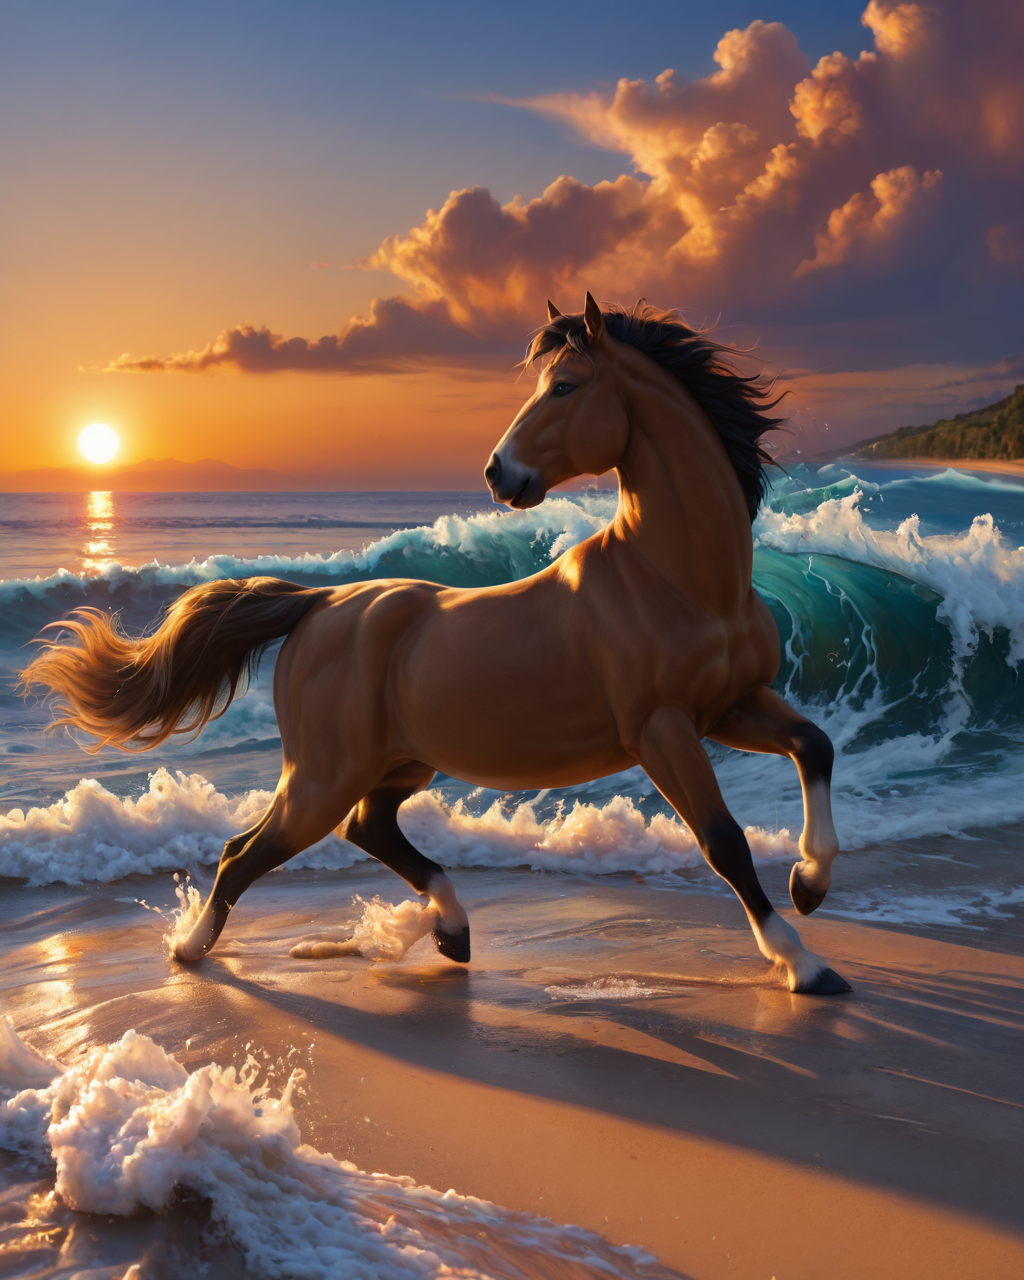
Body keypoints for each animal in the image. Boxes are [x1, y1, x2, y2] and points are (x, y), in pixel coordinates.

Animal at [21, 296, 849, 995]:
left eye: (565, 387)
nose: (497, 473)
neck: (678, 580)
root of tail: (319, 603)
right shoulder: (661, 729)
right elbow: (724, 841)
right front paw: (803, 963)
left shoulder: (731, 706)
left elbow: (815, 747)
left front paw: (810, 884)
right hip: (322, 777)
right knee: (246, 851)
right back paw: (189, 950)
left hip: (398, 764)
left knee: (368, 827)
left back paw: (451, 928)